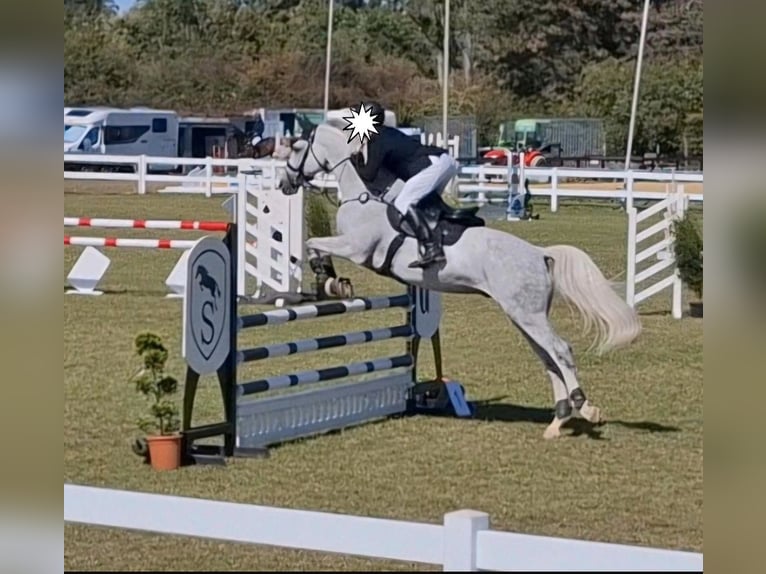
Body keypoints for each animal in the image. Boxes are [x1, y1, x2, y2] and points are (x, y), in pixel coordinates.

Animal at [276, 121, 643, 440]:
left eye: (296, 148)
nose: (284, 184)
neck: (363, 194)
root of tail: (540, 254)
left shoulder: (356, 248)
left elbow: (313, 244)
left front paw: (329, 278)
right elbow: (313, 244)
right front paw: (328, 279)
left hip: (528, 315)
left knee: (561, 351)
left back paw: (586, 408)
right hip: (523, 317)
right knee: (549, 359)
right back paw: (557, 423)